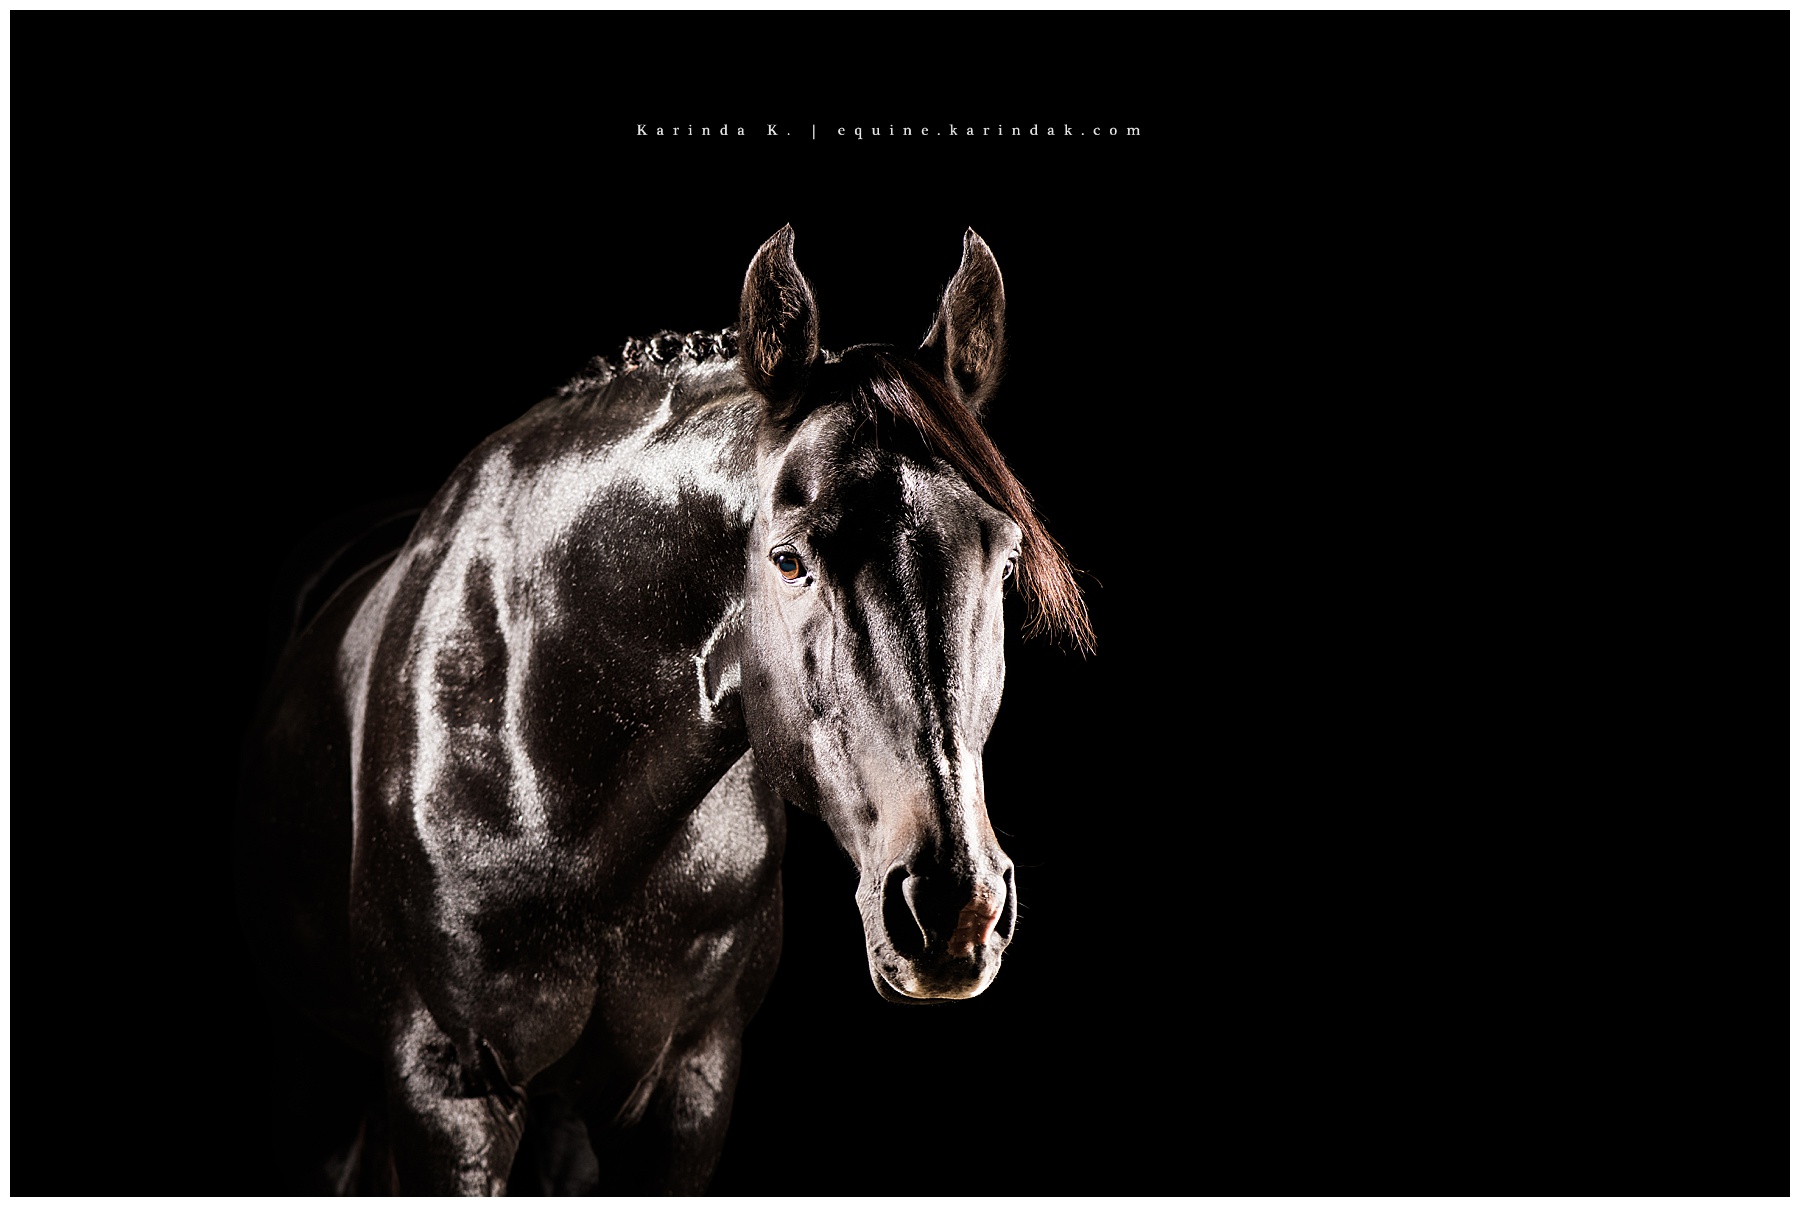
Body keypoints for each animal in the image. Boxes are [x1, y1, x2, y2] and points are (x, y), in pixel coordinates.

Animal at [235, 226, 1094, 1195]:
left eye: (1006, 557)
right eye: (789, 559)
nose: (953, 904)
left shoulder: (687, 1086)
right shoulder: (444, 1088)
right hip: (314, 1069)